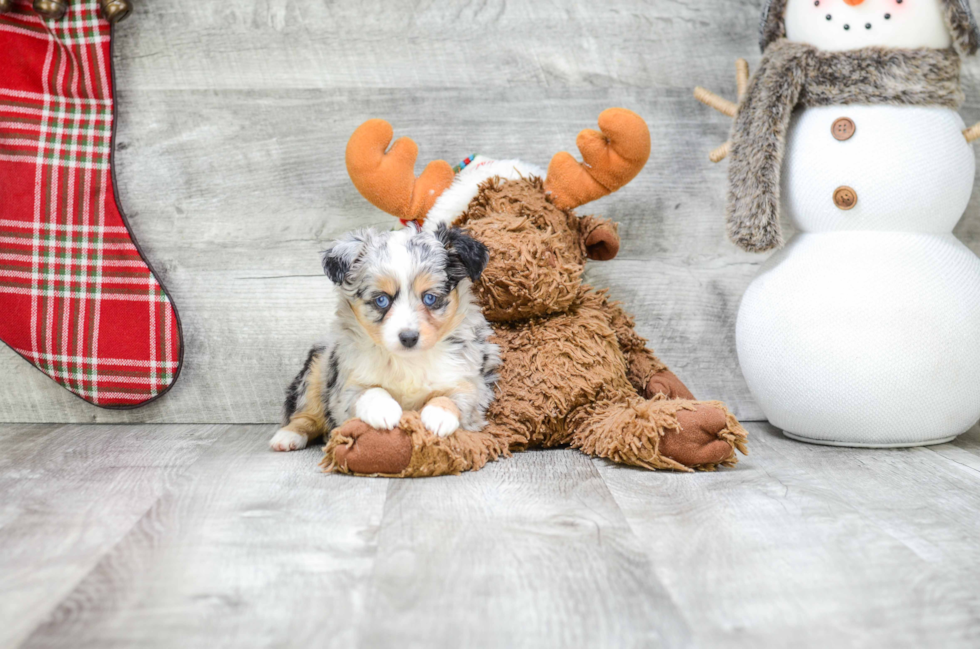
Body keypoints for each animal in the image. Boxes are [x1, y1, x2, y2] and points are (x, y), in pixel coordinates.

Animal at [270, 223, 502, 450]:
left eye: (429, 298)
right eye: (382, 300)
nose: (408, 338)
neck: (409, 361)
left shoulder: (471, 381)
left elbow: (457, 395)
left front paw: (439, 416)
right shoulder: (346, 387)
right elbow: (370, 391)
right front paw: (383, 410)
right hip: (317, 369)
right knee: (307, 413)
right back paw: (287, 436)